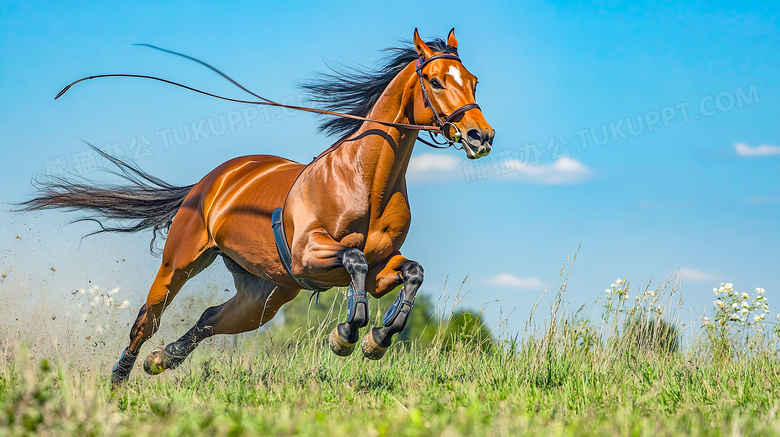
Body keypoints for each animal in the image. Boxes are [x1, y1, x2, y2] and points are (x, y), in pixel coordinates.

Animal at [24, 29, 494, 384]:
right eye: (436, 81)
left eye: (473, 80)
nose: (481, 136)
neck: (365, 181)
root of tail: (216, 179)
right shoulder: (309, 255)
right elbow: (355, 259)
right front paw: (346, 334)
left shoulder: (382, 268)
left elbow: (412, 272)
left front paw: (378, 339)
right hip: (180, 263)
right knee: (147, 318)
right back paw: (120, 378)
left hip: (264, 293)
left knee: (212, 317)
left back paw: (164, 358)